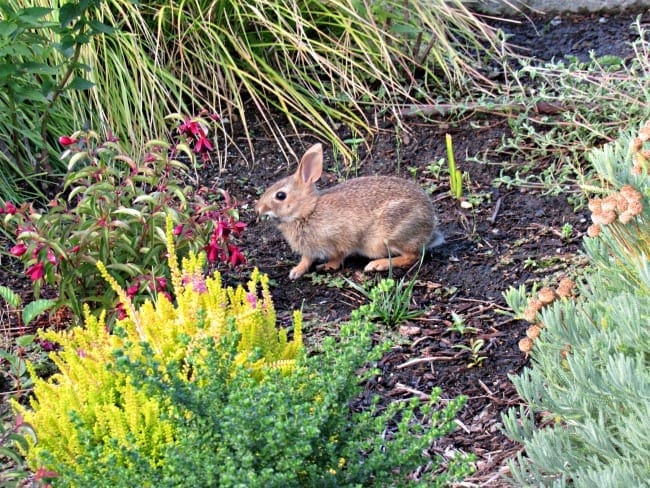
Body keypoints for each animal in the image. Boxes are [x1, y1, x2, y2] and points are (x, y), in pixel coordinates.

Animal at [256, 142, 442, 278]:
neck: (307, 212)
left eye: (280, 195)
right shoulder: (310, 250)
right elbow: (306, 260)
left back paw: (377, 265)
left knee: (413, 256)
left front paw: (328, 266)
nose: (258, 209)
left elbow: (338, 256)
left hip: (390, 235)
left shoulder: (340, 239)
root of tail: (429, 227)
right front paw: (296, 272)